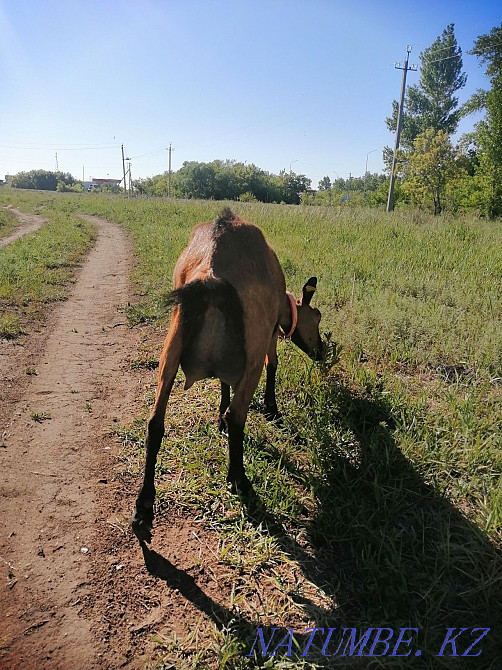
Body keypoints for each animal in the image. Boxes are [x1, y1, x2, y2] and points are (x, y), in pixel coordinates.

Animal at [132, 207, 323, 543]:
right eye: (318, 317)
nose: (322, 351)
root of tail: (211, 275)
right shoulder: (267, 335)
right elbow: (273, 364)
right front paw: (272, 410)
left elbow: (222, 383)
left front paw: (217, 418)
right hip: (252, 348)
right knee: (239, 416)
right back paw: (239, 478)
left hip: (172, 344)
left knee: (155, 423)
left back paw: (144, 505)